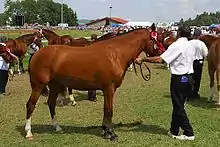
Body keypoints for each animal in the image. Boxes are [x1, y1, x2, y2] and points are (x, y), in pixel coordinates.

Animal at [24, 27, 153, 141]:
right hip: (38, 86)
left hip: (54, 86)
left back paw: (57, 127)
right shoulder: (109, 88)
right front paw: (111, 134)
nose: (34, 44)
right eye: (157, 37)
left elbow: (105, 109)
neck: (114, 54)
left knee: (51, 104)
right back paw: (29, 132)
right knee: (30, 105)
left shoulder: (106, 89)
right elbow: (109, 110)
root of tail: (37, 54)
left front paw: (106, 131)